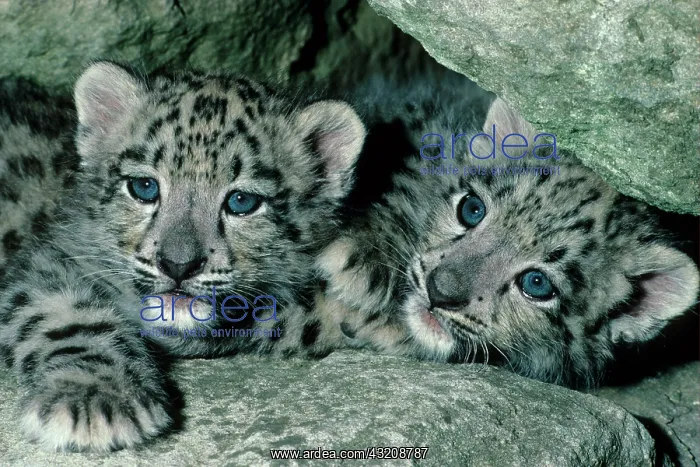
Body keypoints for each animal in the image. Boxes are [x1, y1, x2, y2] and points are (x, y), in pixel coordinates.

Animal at [0, 61, 366, 452]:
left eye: (242, 201)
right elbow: (70, 318)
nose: (178, 264)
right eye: (144, 187)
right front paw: (94, 398)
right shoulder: (47, 263)